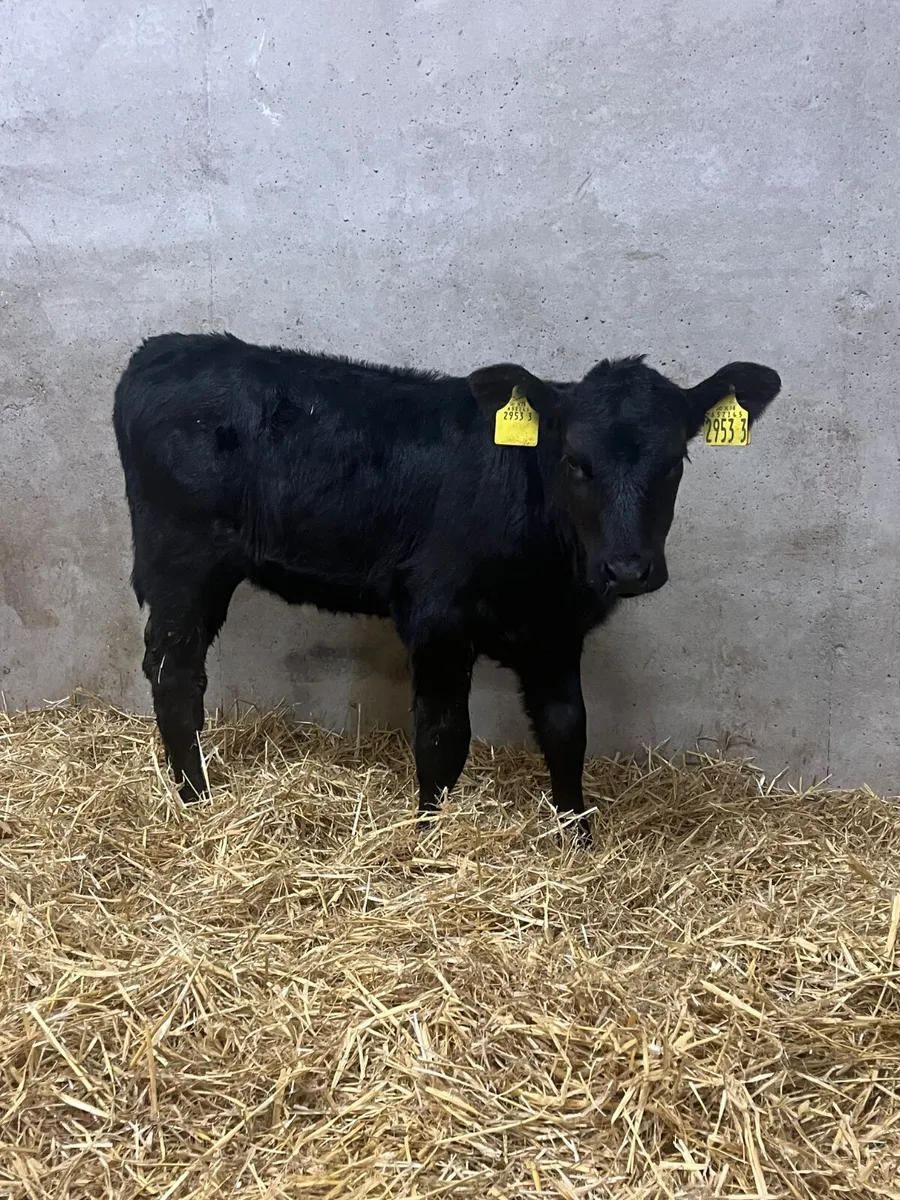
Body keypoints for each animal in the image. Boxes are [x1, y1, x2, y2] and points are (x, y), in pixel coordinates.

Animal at [112, 333, 780, 836]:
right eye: (575, 462)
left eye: (673, 464)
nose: (627, 569)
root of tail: (164, 347)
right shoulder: (435, 616)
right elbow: (442, 736)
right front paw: (427, 837)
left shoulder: (557, 632)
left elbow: (568, 731)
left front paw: (579, 838)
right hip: (180, 560)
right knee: (175, 672)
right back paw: (197, 800)